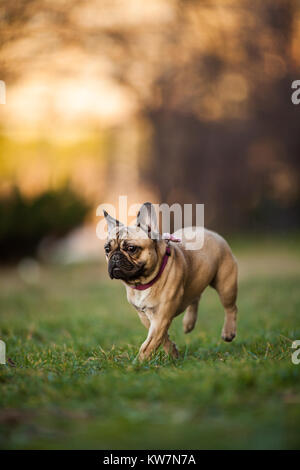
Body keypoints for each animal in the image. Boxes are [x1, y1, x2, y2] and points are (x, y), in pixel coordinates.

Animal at [104, 201, 238, 360]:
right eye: (107, 249)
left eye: (131, 248)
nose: (114, 257)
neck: (142, 282)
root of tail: (211, 232)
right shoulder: (147, 317)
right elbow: (162, 338)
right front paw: (172, 352)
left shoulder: (161, 318)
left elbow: (148, 345)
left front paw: (138, 362)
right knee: (195, 297)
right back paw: (188, 323)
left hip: (226, 285)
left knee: (230, 308)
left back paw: (229, 332)